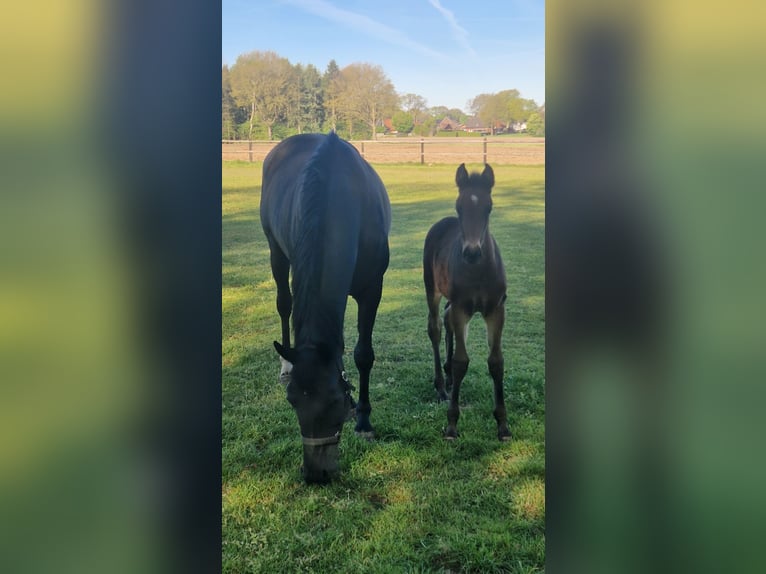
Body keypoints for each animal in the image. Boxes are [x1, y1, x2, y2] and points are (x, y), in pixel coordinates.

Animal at [260, 132, 391, 483]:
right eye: (292, 401)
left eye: (334, 400)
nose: (316, 475)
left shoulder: (372, 289)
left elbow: (362, 355)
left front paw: (364, 421)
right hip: (276, 252)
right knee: (284, 304)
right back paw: (285, 364)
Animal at [422, 163, 511, 441]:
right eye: (459, 207)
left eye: (488, 208)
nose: (471, 252)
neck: (479, 272)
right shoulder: (462, 307)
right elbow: (462, 362)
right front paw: (451, 425)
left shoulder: (496, 309)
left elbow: (496, 362)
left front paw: (503, 425)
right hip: (432, 289)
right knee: (436, 327)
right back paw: (442, 386)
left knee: (447, 321)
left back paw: (448, 376)